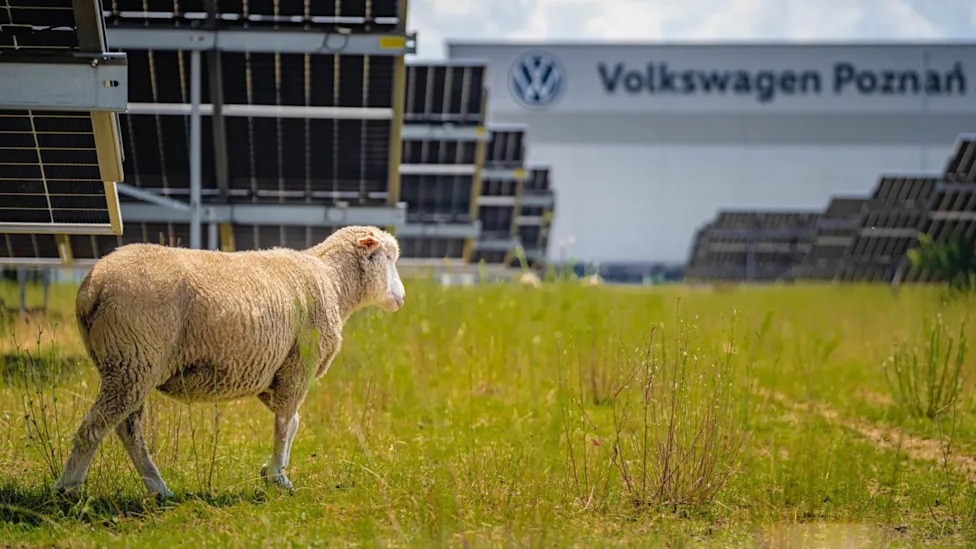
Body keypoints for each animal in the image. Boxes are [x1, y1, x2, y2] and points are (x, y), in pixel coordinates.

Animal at [52, 225, 405, 499]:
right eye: (389, 258)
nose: (401, 297)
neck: (333, 281)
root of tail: (92, 286)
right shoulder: (298, 364)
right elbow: (286, 423)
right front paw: (278, 477)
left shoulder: (273, 372)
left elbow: (291, 421)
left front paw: (271, 470)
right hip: (134, 358)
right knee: (95, 428)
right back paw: (68, 489)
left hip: (128, 363)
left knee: (127, 429)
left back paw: (158, 488)